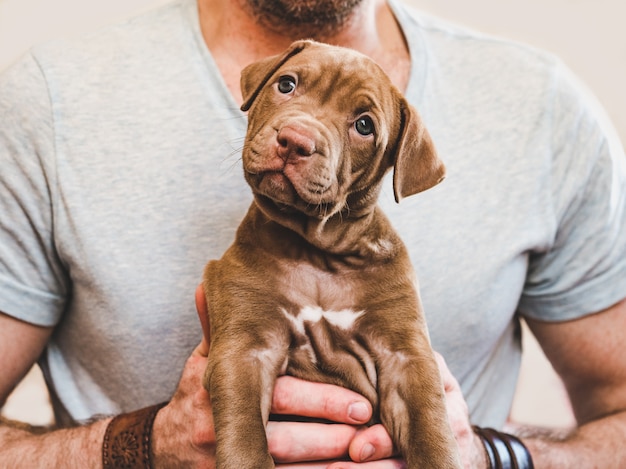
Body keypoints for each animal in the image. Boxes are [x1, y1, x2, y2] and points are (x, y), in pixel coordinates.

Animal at [202, 41, 460, 468]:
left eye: (364, 126)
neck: (317, 250)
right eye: (286, 84)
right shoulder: (245, 350)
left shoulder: (407, 358)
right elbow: (244, 435)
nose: (295, 140)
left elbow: (433, 433)